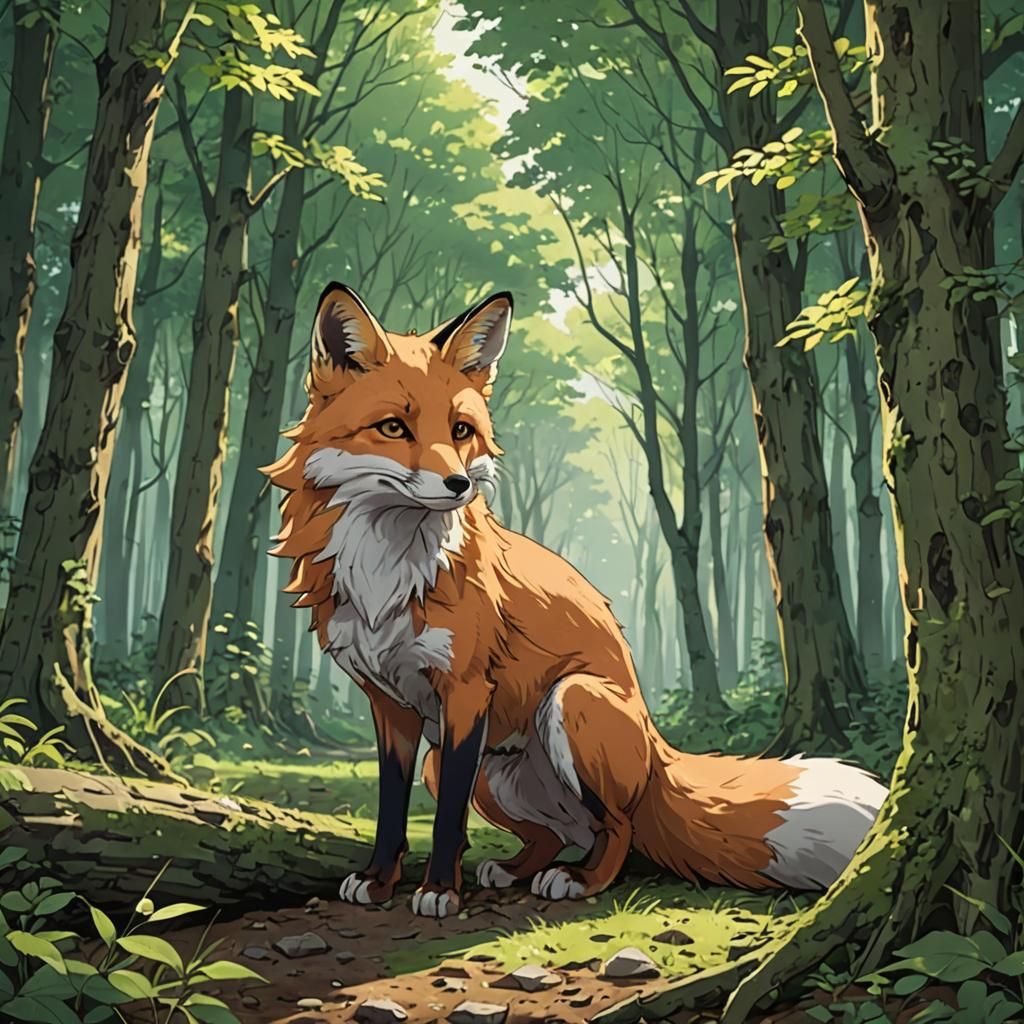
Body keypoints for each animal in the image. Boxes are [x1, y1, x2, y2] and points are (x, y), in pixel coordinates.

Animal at [265, 283, 887, 919]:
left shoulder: (466, 691)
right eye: (393, 428)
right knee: (555, 834)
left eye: (461, 431)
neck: (386, 576)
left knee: (618, 829)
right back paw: (514, 869)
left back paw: (579, 879)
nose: (458, 485)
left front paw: (438, 890)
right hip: (469, 766)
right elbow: (393, 807)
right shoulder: (390, 705)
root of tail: (658, 752)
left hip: (572, 703)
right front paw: (379, 881)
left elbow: (445, 823)